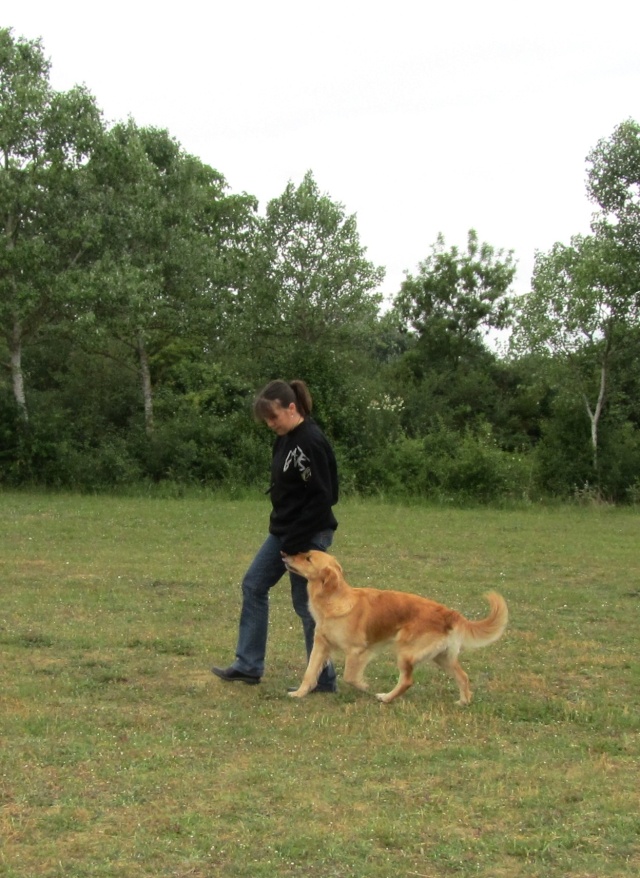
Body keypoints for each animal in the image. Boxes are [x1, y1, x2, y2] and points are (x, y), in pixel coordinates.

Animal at [282, 552, 508, 704]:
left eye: (308, 558)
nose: (284, 554)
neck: (334, 600)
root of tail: (448, 612)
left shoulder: (358, 650)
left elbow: (350, 676)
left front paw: (363, 685)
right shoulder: (321, 645)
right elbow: (309, 673)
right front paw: (299, 693)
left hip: (406, 652)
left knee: (407, 681)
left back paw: (387, 697)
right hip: (441, 657)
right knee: (463, 676)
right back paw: (463, 701)